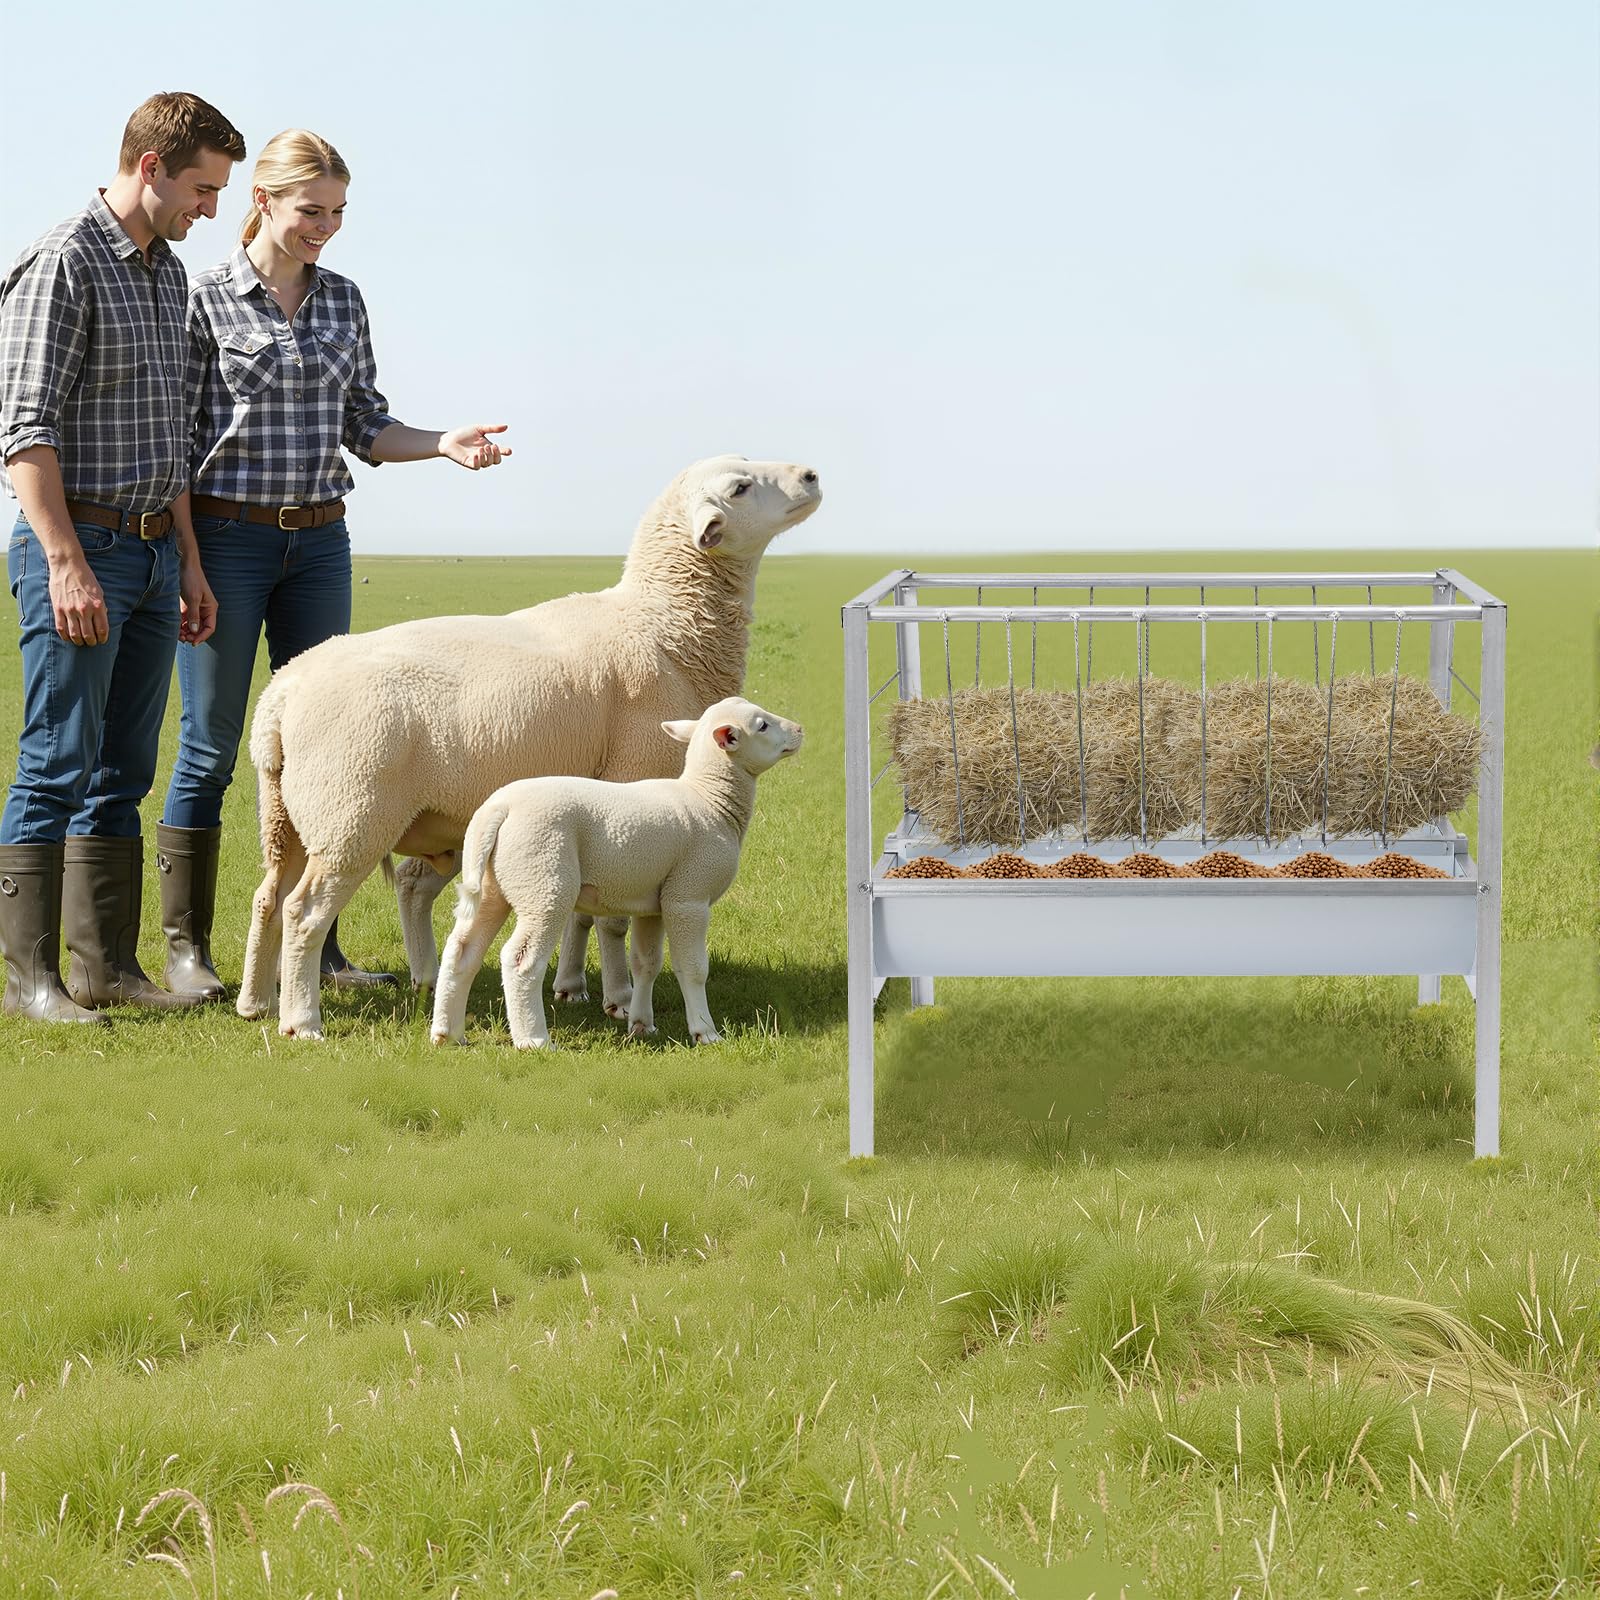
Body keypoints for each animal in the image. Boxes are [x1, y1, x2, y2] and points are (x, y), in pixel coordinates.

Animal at [429, 697, 802, 1049]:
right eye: (763, 725)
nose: (799, 729)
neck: (709, 799)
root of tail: (499, 809)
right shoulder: (689, 895)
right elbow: (693, 968)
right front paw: (705, 1032)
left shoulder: (656, 902)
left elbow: (646, 963)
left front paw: (641, 1025)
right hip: (545, 879)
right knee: (520, 960)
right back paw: (534, 1040)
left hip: (496, 882)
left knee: (462, 950)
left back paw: (448, 1034)